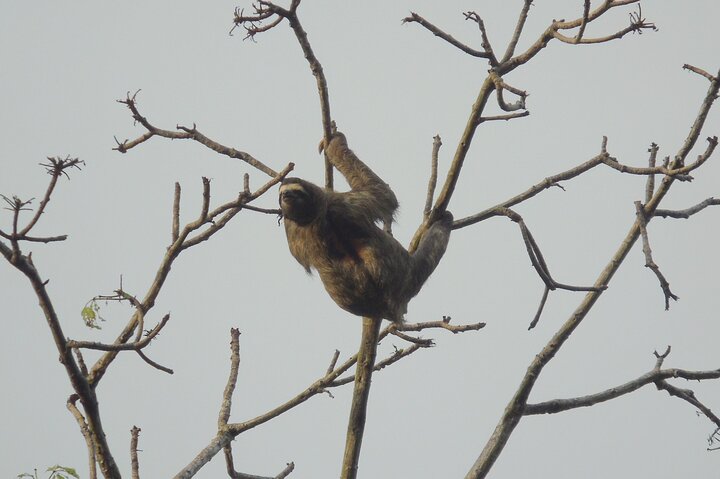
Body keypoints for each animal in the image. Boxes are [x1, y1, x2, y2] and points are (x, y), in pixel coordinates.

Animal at [279, 130, 452, 322]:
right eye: (283, 193)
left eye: (296, 191)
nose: (286, 195)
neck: (314, 217)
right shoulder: (343, 203)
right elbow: (383, 194)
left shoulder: (338, 204)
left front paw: (333, 142)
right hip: (408, 276)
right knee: (432, 247)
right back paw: (444, 219)